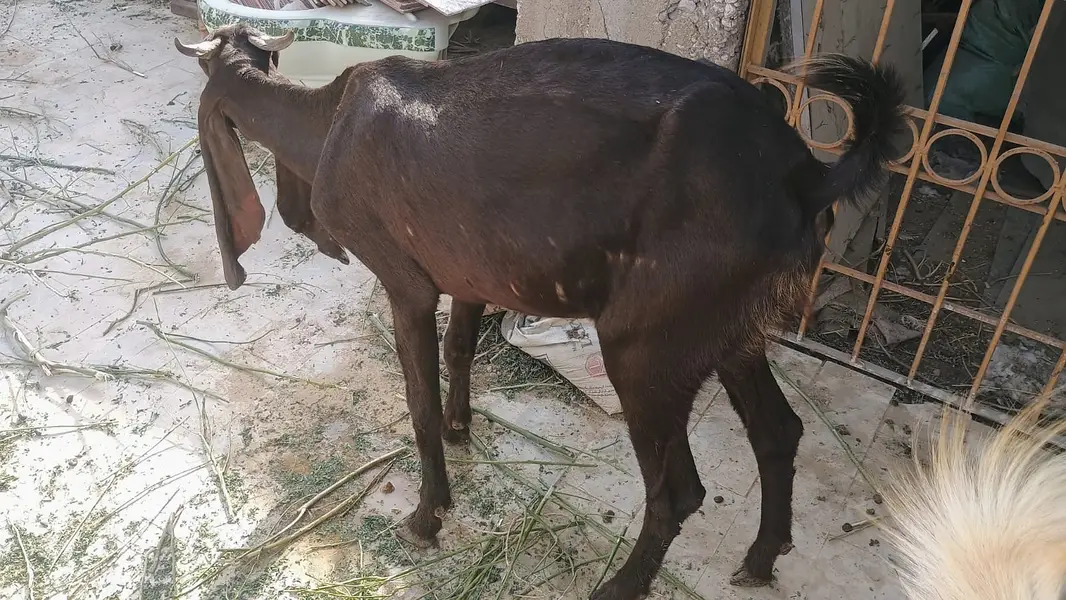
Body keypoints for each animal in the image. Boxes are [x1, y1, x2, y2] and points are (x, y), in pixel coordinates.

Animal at [175, 24, 905, 599]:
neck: (329, 124)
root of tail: (806, 178)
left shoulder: (404, 278)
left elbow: (416, 401)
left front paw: (428, 514)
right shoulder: (466, 267)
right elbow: (459, 349)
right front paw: (461, 426)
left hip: (649, 339)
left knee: (680, 490)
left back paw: (620, 586)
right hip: (732, 327)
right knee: (778, 431)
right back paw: (759, 559)